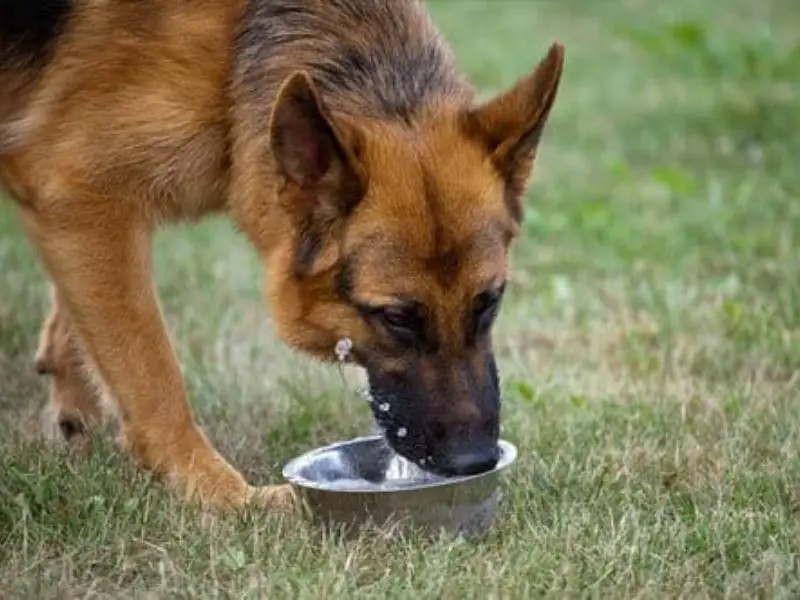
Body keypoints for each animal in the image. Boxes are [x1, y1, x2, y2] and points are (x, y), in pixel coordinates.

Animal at [0, 0, 564, 510]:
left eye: (490, 302)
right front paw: (225, 497)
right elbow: (152, 376)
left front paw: (74, 395)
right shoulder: (79, 194)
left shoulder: (77, 213)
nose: (475, 461)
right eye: (397, 318)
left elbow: (92, 321)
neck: (230, 53)